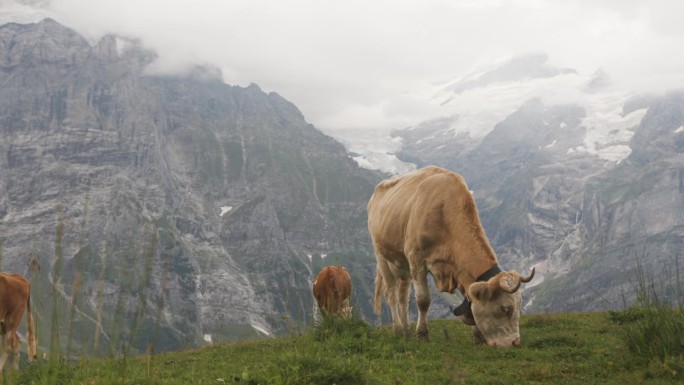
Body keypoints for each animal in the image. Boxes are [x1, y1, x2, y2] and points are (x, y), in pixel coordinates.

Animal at [368, 166, 536, 346]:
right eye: (505, 308)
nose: (515, 342)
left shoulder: (457, 268)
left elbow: (469, 298)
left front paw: (478, 336)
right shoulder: (416, 260)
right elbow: (423, 300)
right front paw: (422, 334)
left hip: (402, 262)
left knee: (403, 295)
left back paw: (406, 329)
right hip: (381, 255)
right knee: (391, 293)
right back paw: (398, 329)